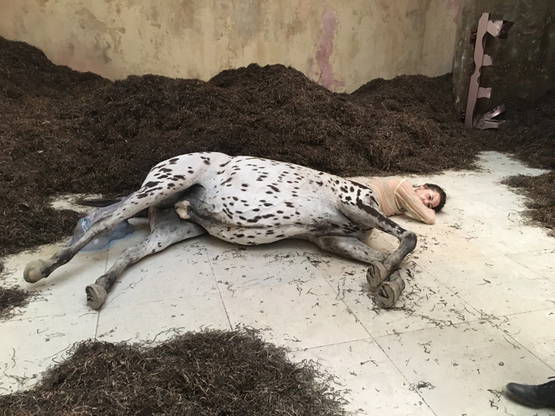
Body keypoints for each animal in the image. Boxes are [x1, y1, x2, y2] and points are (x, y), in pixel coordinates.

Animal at [25, 152, 416, 308]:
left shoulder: (331, 238)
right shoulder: (352, 205)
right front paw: (385, 275)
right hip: (166, 183)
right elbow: (408, 238)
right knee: (103, 221)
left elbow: (383, 260)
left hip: (171, 231)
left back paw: (100, 287)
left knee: (131, 250)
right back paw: (40, 268)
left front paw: (385, 281)